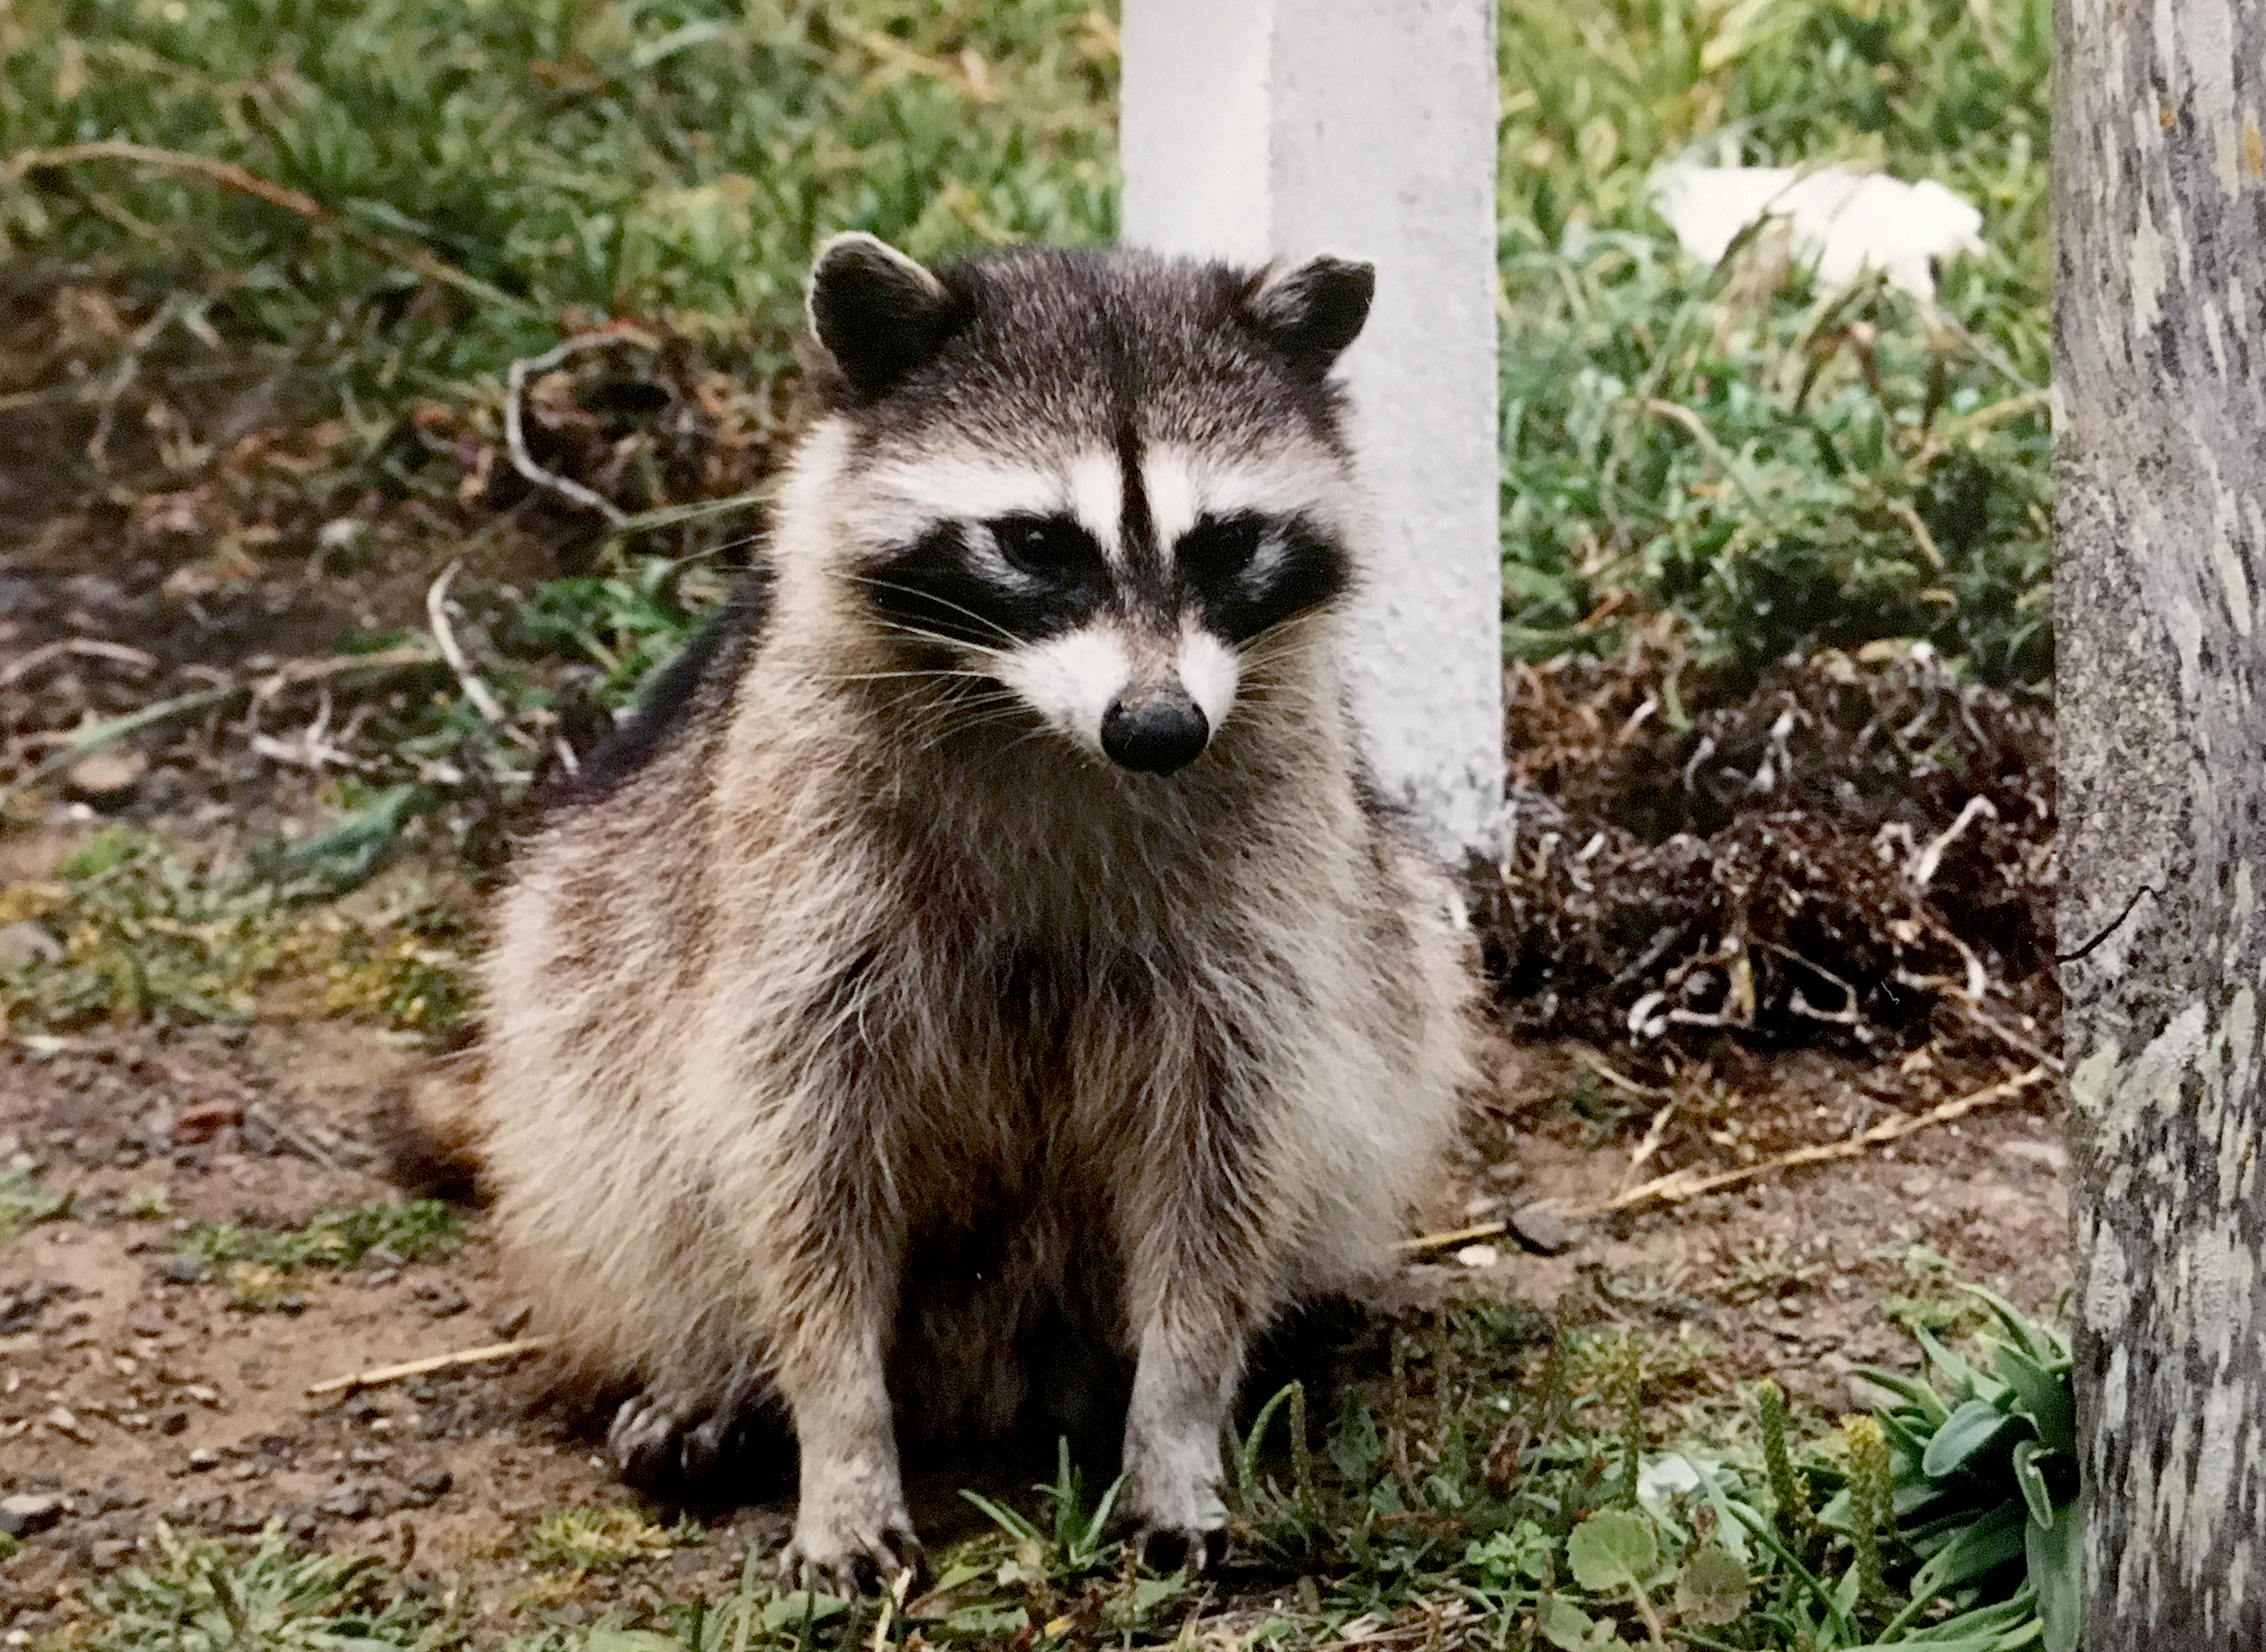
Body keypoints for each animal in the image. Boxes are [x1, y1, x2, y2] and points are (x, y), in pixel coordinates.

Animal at [464, 232, 1486, 1586]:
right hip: (591, 930)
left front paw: (1177, 1415)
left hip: (1370, 932)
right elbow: (798, 1160)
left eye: (1224, 544)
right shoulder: (800, 864)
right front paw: (838, 1431)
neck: (1047, 729)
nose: (1159, 728)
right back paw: (717, 1357)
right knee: (606, 1097)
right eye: (1039, 543)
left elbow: (1224, 1152)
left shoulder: (1270, 885)